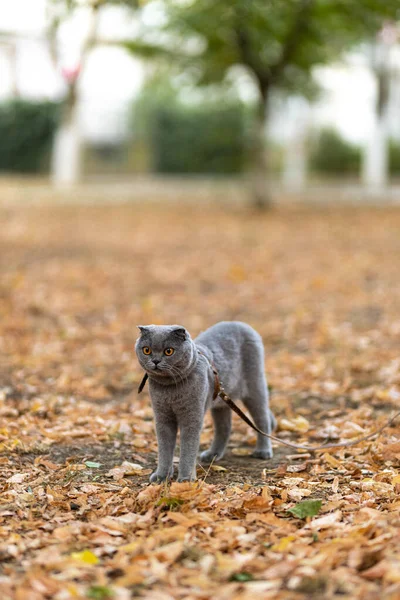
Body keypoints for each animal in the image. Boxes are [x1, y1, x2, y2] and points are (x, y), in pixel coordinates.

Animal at [134, 322, 276, 480]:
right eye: (146, 350)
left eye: (169, 351)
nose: (155, 361)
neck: (170, 388)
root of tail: (241, 324)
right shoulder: (162, 417)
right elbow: (164, 449)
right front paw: (161, 476)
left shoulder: (192, 416)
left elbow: (188, 449)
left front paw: (185, 479)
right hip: (220, 402)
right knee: (224, 427)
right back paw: (213, 454)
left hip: (255, 387)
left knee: (262, 419)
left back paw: (263, 451)